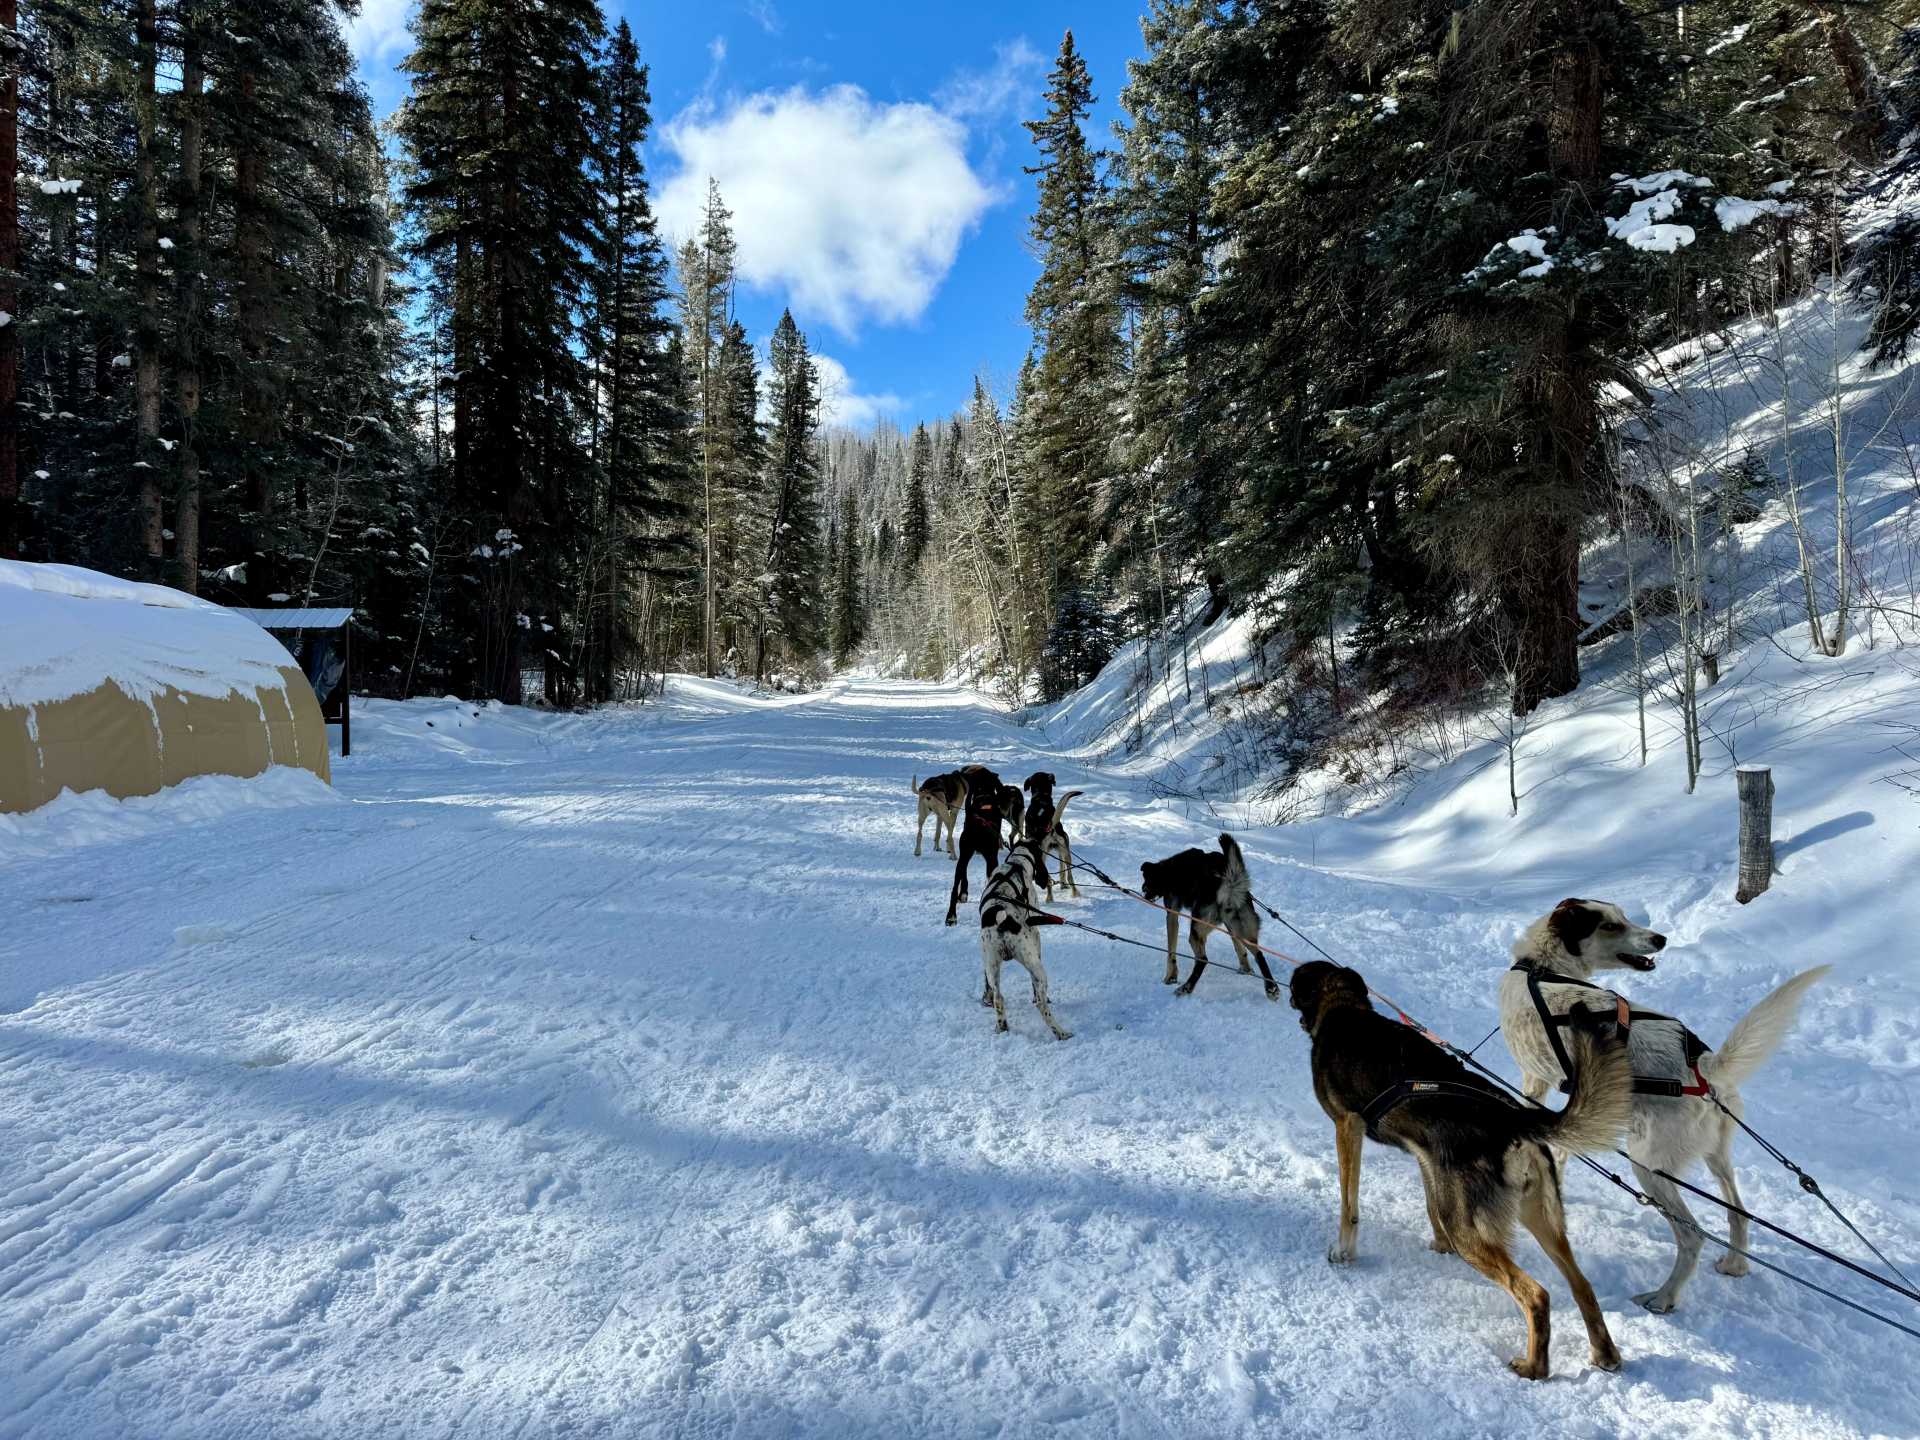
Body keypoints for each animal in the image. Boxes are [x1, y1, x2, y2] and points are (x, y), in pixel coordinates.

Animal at [983, 840, 1075, 1044]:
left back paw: (1002, 1027)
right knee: (1041, 1004)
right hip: (1035, 965)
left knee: (999, 998)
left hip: (992, 964)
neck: (1015, 864)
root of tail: (1002, 919)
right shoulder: (1036, 936)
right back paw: (1061, 1032)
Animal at [1282, 963, 1628, 1382]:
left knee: (1536, 1294)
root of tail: (1516, 1119)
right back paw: (1604, 1353)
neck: (1343, 1008)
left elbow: (1349, 1205)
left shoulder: (1347, 1127)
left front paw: (1344, 1252)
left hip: (1472, 1234)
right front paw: (1438, 1244)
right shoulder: (1427, 1159)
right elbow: (1431, 1205)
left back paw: (1534, 1367)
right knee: (1582, 1284)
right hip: (1541, 1220)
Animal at [1497, 902, 1827, 1320]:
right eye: (1611, 924)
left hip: (1648, 1166)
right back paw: (1735, 1264)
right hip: (1716, 1155)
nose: (1660, 939)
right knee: (1738, 1211)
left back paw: (1664, 1296)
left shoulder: (1535, 1083)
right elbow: (1562, 1151)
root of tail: (1703, 1067)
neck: (1540, 968)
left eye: (1622, 918)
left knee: (1692, 1235)